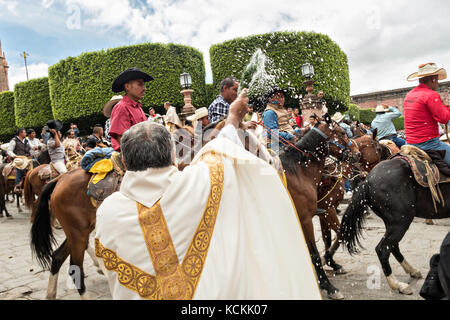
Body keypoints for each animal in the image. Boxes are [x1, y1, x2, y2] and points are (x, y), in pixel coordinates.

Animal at [340, 155, 450, 296]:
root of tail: (368, 181)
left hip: (392, 223)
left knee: (393, 246)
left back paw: (412, 271)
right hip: (400, 222)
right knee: (383, 249)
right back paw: (398, 285)